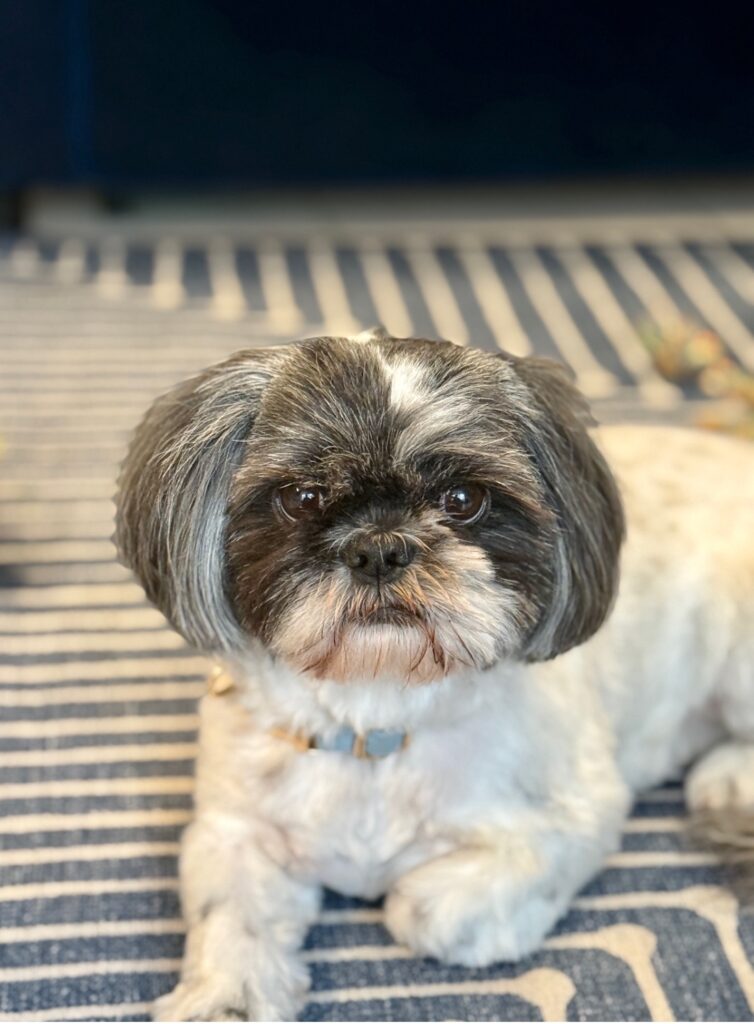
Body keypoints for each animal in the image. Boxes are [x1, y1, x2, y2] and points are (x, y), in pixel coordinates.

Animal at [115, 329, 754, 1021]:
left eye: (463, 500)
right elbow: (231, 918)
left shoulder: (579, 814)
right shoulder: (233, 829)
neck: (376, 723)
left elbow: (433, 910)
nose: (379, 547)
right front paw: (226, 994)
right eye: (301, 498)